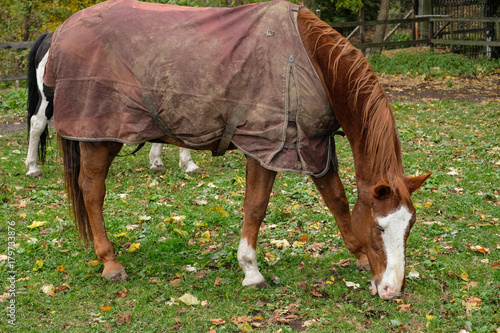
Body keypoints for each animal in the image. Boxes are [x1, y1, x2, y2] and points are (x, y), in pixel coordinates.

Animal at [42, 0, 430, 300]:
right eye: (380, 227)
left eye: (409, 227)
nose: (392, 291)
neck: (313, 62)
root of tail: (64, 31)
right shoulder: (267, 147)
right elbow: (256, 207)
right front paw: (251, 270)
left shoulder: (313, 145)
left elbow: (336, 199)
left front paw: (359, 257)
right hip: (96, 136)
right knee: (93, 190)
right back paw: (110, 262)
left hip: (105, 137)